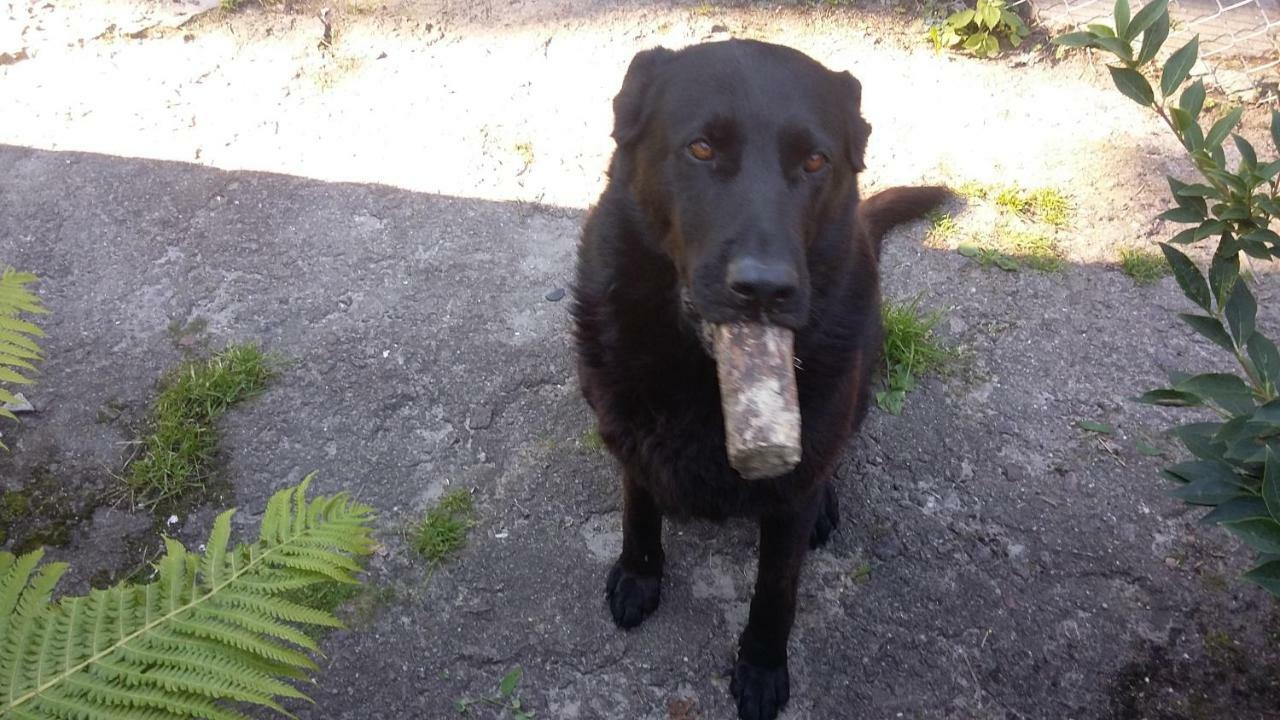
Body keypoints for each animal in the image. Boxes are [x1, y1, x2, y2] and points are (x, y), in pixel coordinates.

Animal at [576, 40, 947, 717]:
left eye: (814, 161)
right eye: (701, 149)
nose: (766, 291)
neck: (704, 374)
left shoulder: (790, 500)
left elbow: (777, 589)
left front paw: (762, 667)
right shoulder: (628, 438)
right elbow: (638, 509)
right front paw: (640, 573)